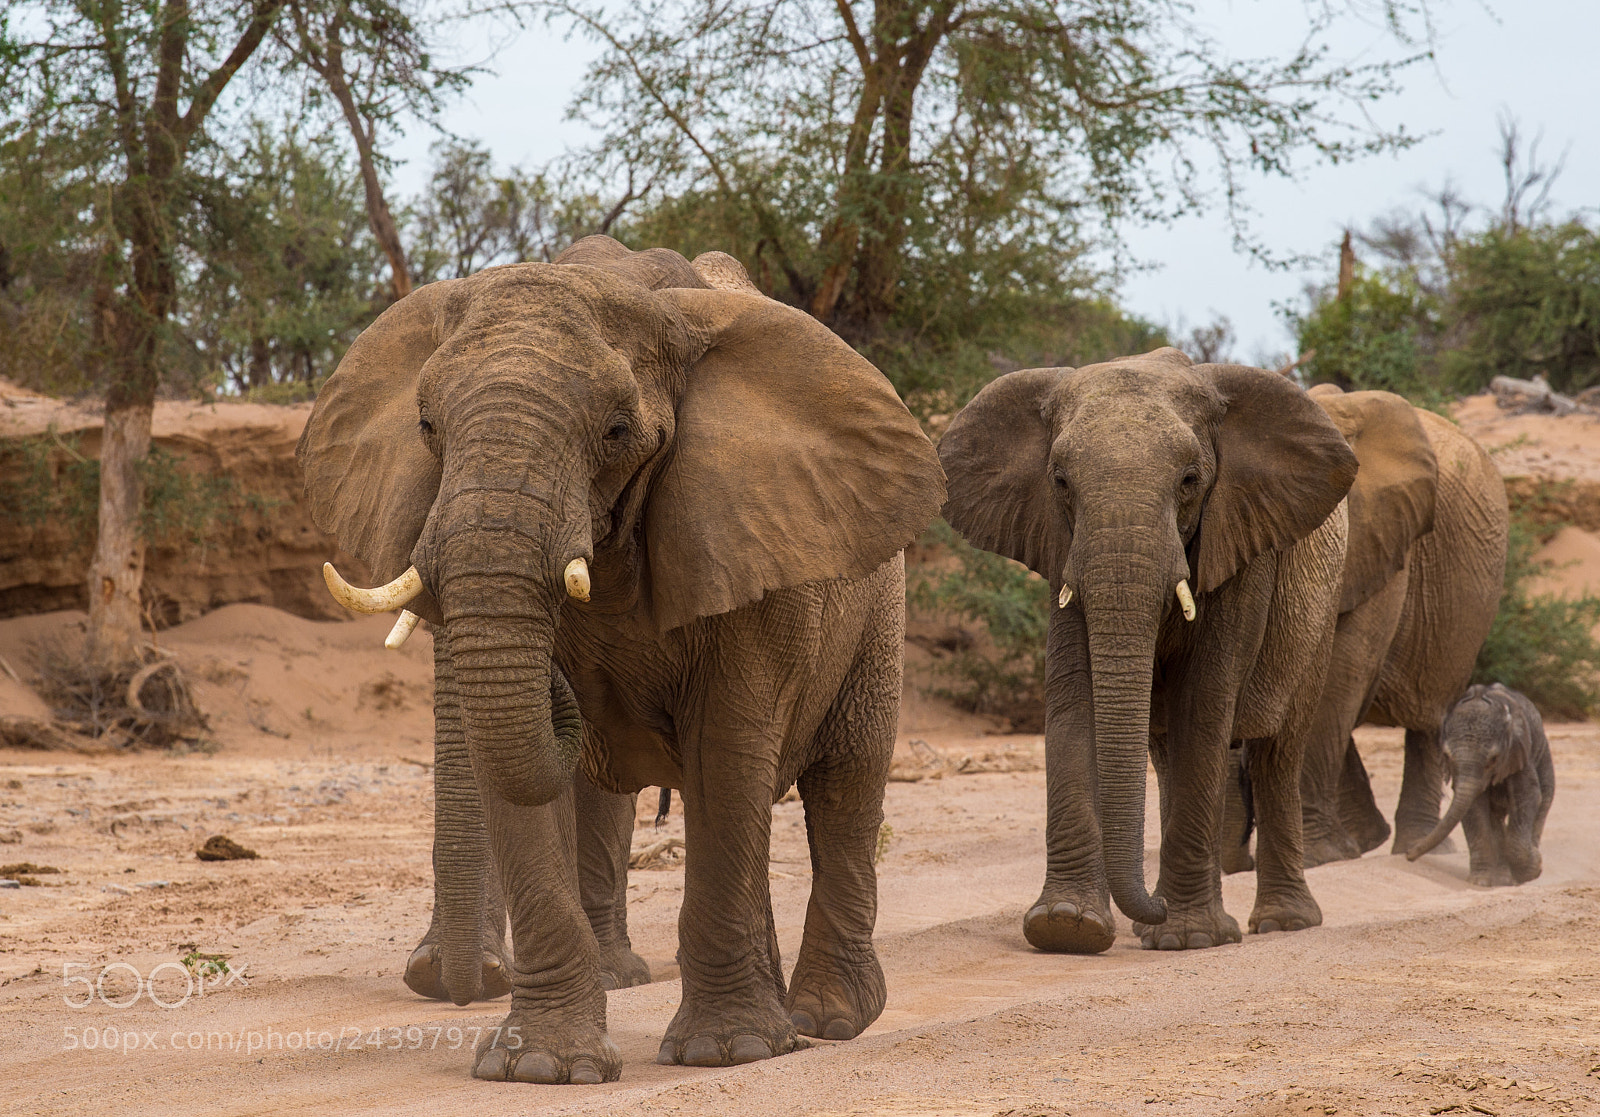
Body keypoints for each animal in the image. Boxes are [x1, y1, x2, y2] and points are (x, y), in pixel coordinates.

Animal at [297, 235, 945, 1082]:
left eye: (614, 431)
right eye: (428, 425)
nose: (567, 701)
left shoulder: (741, 533)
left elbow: (728, 746)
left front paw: (725, 1052)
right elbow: (522, 778)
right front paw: (540, 1066)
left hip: (876, 607)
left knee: (844, 784)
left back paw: (823, 1019)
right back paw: (782, 1019)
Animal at [938, 347, 1358, 953]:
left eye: (1190, 480)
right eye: (1060, 481)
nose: (1150, 907)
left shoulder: (1240, 543)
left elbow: (1203, 702)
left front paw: (1187, 937)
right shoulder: (1062, 548)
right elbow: (1076, 699)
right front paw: (1066, 926)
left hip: (1319, 616)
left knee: (1277, 752)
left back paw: (1281, 923)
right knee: (1169, 755)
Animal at [1222, 387, 1509, 872]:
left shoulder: (1387, 540)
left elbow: (1343, 669)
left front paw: (1318, 857)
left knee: (1427, 722)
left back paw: (1412, 846)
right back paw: (1366, 839)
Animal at [1406, 683, 1554, 885]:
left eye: (1493, 759)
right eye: (1447, 756)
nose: (1408, 856)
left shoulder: (1519, 753)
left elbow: (1527, 796)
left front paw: (1534, 869)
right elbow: (1473, 807)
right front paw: (1479, 882)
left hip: (1543, 755)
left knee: (1543, 802)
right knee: (1495, 818)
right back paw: (1504, 878)